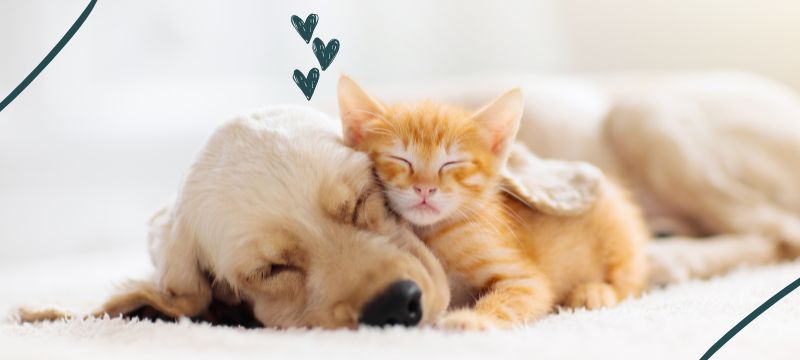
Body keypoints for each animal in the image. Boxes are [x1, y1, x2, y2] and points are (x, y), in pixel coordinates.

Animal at [338, 74, 648, 330]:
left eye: (452, 163)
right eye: (400, 159)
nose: (424, 188)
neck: (434, 234)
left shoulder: (524, 279)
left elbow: (513, 298)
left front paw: (472, 319)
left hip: (617, 231)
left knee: (632, 279)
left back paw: (596, 291)